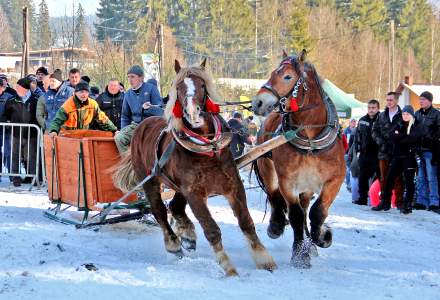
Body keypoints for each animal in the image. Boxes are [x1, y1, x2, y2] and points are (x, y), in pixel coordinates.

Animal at [113, 59, 276, 276]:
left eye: (202, 86)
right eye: (179, 88)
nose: (192, 112)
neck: (208, 148)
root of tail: (142, 124)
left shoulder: (233, 186)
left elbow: (246, 222)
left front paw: (264, 259)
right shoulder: (194, 193)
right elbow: (211, 229)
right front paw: (228, 266)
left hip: (178, 186)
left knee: (175, 206)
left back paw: (188, 234)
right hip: (151, 181)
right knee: (160, 211)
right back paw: (173, 244)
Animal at [253, 50, 346, 268]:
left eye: (287, 76)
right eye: (272, 72)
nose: (258, 102)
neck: (311, 142)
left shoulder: (334, 180)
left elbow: (317, 212)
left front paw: (320, 238)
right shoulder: (288, 181)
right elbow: (295, 214)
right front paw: (299, 254)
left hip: (308, 185)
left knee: (305, 207)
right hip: (268, 168)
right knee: (274, 195)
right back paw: (276, 225)